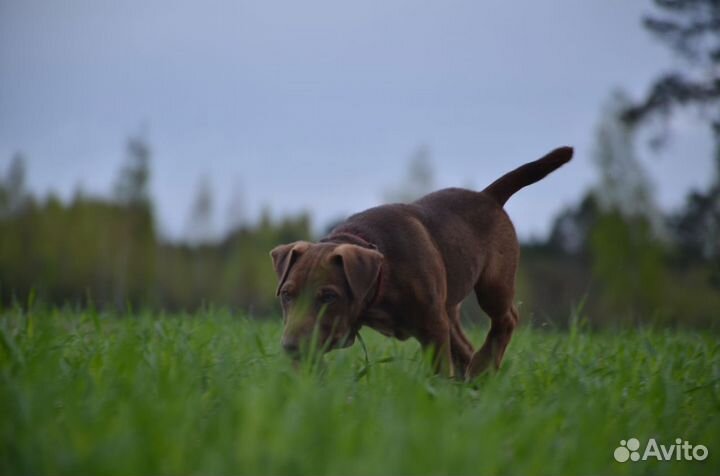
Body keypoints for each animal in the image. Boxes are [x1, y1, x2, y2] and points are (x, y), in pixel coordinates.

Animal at [270, 147, 572, 378]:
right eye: (286, 295)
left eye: (329, 297)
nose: (290, 347)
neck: (382, 275)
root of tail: (488, 196)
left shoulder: (432, 326)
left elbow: (439, 370)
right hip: (449, 306)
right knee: (465, 347)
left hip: (493, 282)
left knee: (506, 319)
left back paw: (482, 366)